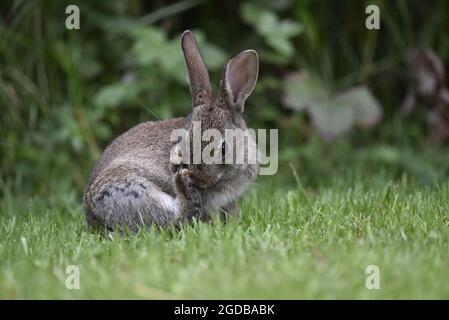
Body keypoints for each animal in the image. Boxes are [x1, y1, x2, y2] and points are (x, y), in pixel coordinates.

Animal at [83, 30, 260, 231]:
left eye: (223, 149)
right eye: (183, 143)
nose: (199, 179)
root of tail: (92, 217)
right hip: (130, 190)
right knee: (177, 218)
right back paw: (182, 184)